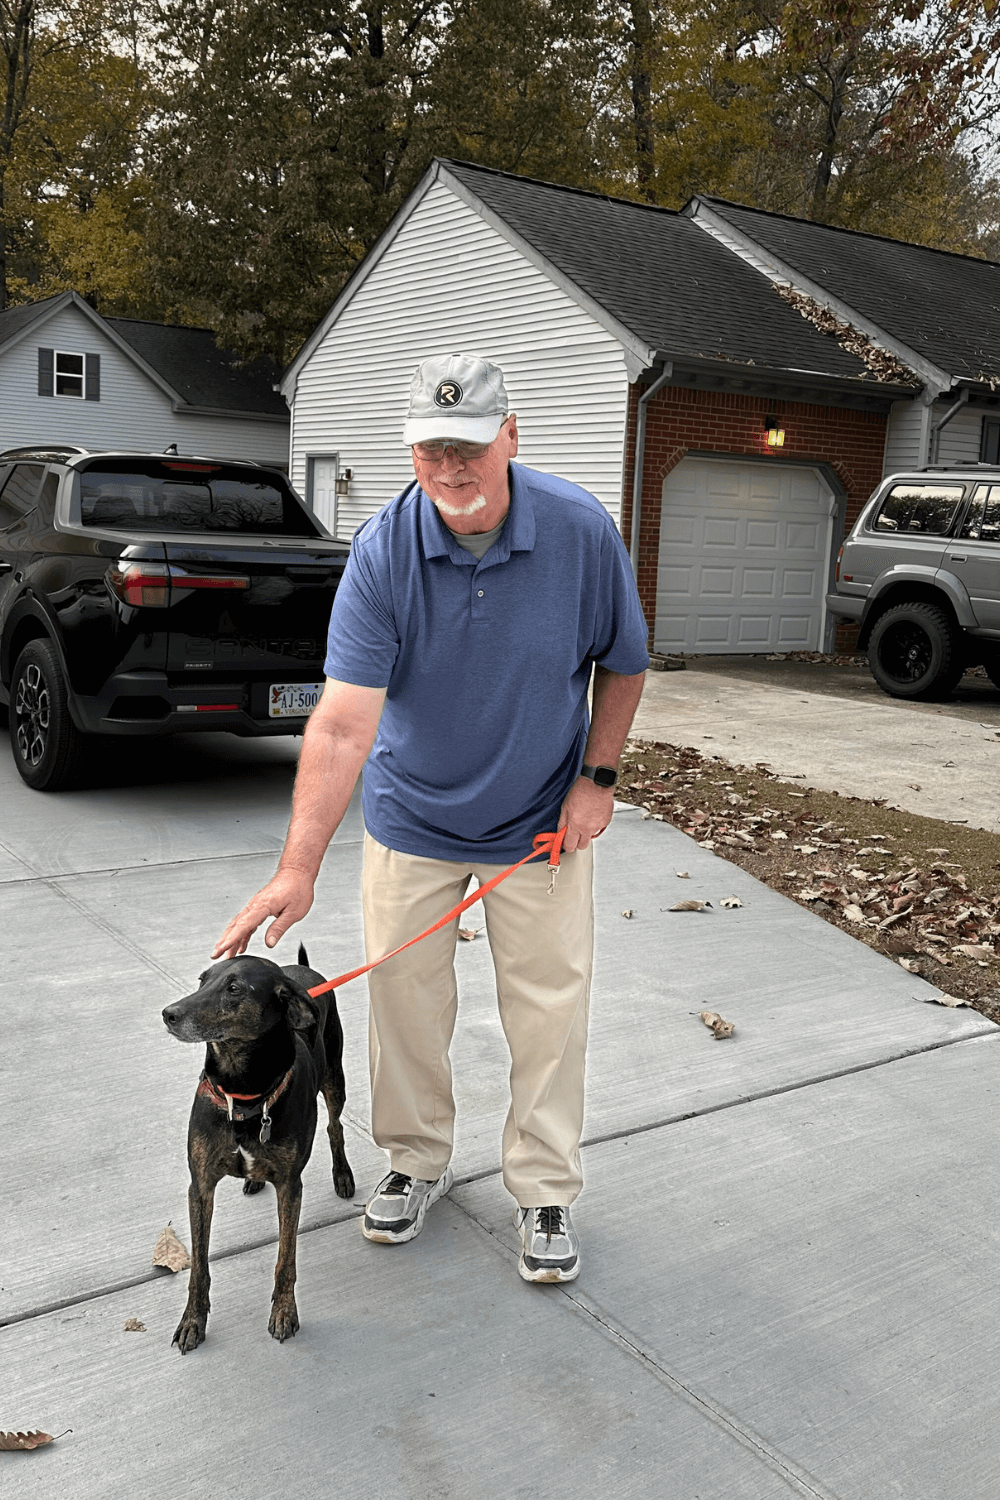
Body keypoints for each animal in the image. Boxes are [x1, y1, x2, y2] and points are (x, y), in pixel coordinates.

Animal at [161, 948, 355, 1350]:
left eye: (234, 988)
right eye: (203, 980)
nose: (169, 1013)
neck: (243, 1093)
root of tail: (301, 968)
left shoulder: (291, 1187)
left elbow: (286, 1260)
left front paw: (284, 1313)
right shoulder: (199, 1186)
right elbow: (199, 1265)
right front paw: (192, 1321)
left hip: (334, 1077)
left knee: (335, 1126)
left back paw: (342, 1174)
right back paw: (254, 1179)